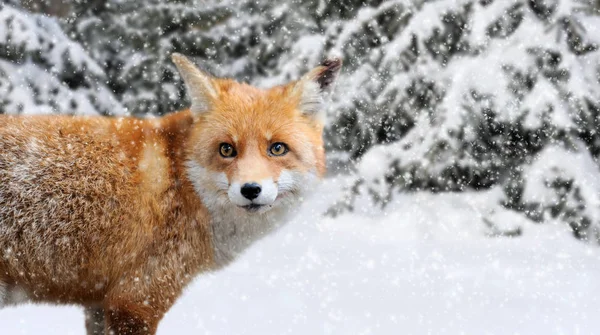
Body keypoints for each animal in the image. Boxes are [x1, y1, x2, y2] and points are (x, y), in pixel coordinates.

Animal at [0, 53, 342, 334]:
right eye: (226, 149)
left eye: (277, 148)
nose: (250, 190)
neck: (181, 183)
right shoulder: (136, 301)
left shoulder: (99, 301)